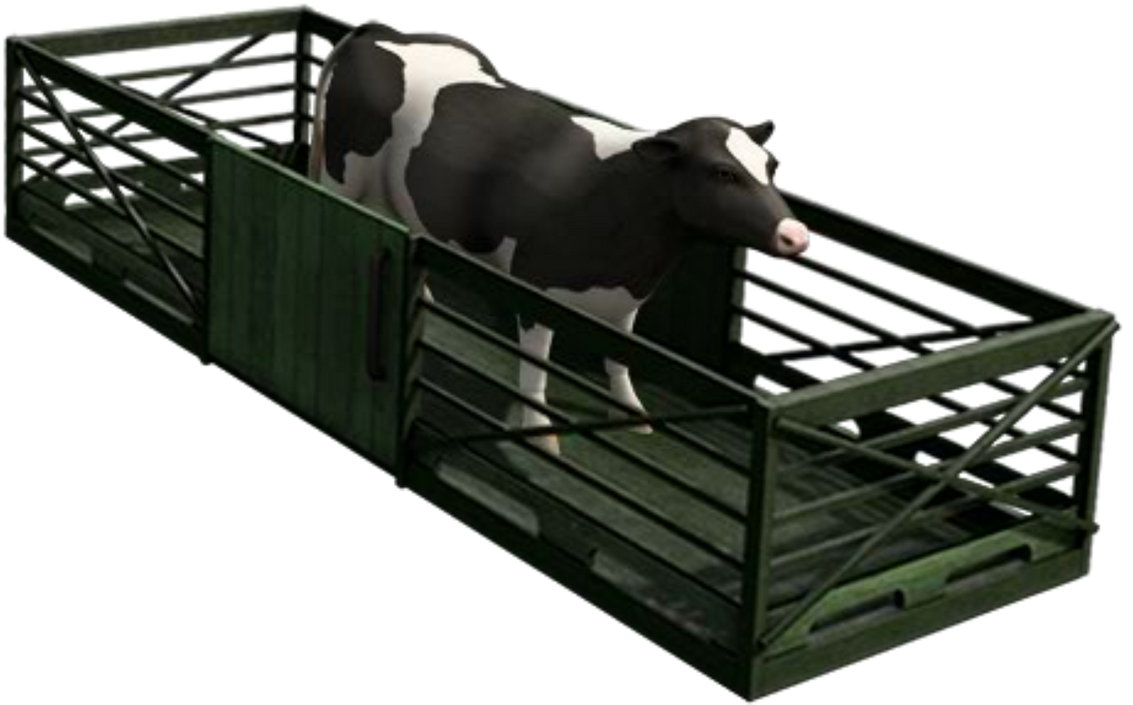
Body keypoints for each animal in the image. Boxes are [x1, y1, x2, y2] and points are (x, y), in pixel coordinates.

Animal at [308, 21, 812, 456]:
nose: (797, 235)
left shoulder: (627, 298)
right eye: (723, 172)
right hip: (341, 176)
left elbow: (620, 358)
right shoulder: (535, 286)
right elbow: (536, 366)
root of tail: (382, 29)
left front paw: (632, 411)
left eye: (770, 166)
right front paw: (540, 434)